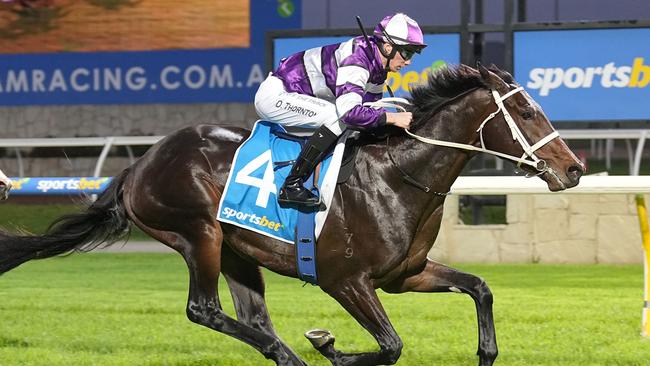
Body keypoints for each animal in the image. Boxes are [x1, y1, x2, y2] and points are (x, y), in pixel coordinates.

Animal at [0, 64, 584, 364]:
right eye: (527, 110)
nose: (574, 168)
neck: (397, 176)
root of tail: (138, 165)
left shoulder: (405, 275)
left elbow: (480, 288)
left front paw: (486, 351)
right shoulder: (344, 281)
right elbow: (390, 345)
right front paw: (331, 347)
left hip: (237, 248)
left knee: (251, 316)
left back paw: (284, 354)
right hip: (199, 233)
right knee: (203, 310)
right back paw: (294, 354)